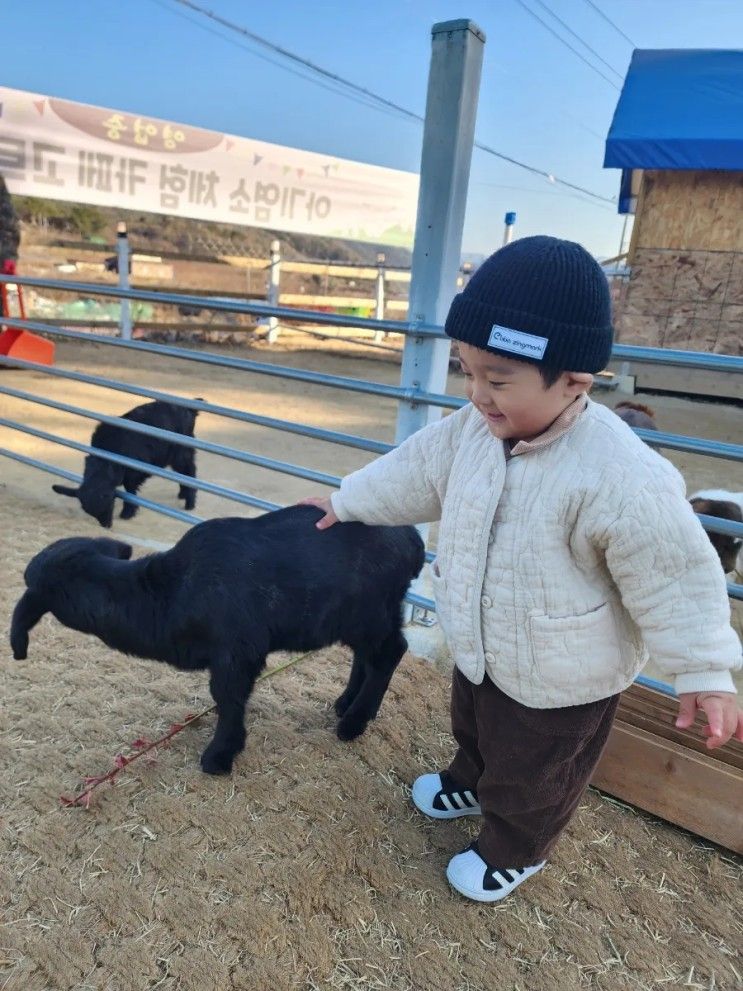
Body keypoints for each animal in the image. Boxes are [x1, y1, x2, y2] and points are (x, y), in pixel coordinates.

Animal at [10, 512, 424, 776]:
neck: (167, 593)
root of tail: (413, 540)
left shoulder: (236, 652)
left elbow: (227, 698)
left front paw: (220, 755)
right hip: (366, 616)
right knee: (369, 656)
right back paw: (346, 704)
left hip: (368, 613)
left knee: (390, 652)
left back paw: (353, 722)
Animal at [51, 402, 201, 532]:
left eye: (108, 503)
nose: (106, 525)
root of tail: (190, 409)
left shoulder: (133, 472)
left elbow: (130, 490)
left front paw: (127, 513)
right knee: (182, 474)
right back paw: (182, 494)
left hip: (182, 452)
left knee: (190, 472)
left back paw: (189, 503)